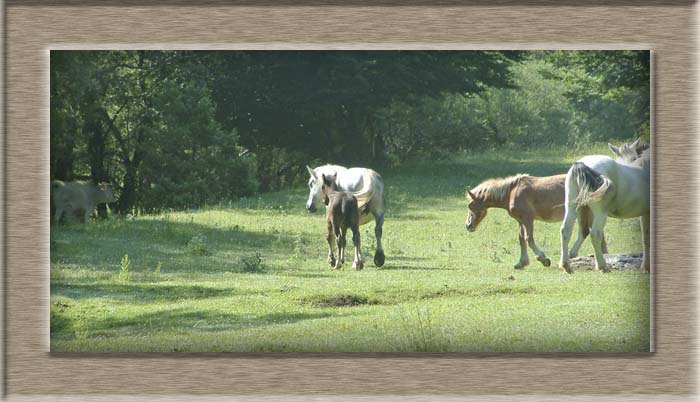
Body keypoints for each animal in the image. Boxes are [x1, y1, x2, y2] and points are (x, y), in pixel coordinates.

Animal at [464, 174, 600, 270]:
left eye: (470, 205)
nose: (468, 225)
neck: (512, 192)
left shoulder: (528, 219)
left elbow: (529, 239)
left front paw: (543, 259)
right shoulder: (520, 220)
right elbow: (521, 239)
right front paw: (521, 263)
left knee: (585, 231)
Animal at [556, 139, 652, 274]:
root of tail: (582, 164)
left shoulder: (645, 213)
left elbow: (645, 238)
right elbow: (647, 239)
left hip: (572, 207)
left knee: (566, 230)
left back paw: (566, 266)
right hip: (600, 213)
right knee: (595, 234)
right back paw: (602, 266)